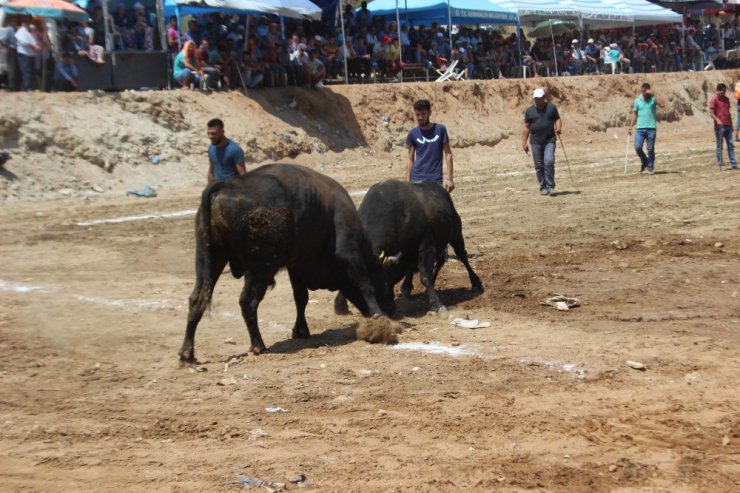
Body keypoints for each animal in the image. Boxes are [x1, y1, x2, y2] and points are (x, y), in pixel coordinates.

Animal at [178, 163, 394, 360]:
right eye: (384, 283)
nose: (392, 310)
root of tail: (226, 185)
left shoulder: (295, 265)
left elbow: (301, 298)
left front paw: (300, 330)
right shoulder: (349, 253)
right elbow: (364, 284)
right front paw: (378, 315)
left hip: (211, 258)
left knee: (197, 299)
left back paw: (187, 354)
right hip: (260, 267)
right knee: (248, 301)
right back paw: (259, 345)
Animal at [336, 179, 486, 314]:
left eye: (380, 282)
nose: (388, 310)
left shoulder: (426, 247)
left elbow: (425, 276)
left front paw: (437, 305)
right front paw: (340, 304)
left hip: (455, 234)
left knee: (462, 256)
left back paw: (476, 283)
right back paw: (407, 287)